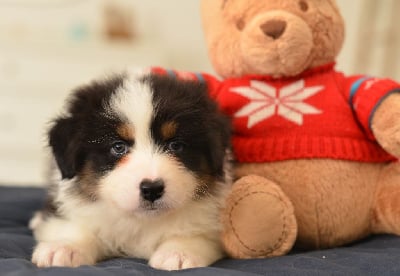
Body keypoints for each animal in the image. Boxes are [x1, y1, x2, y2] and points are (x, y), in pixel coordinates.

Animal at [30, 70, 231, 270]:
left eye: (175, 145)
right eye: (118, 147)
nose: (152, 189)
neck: (141, 222)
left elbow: (196, 233)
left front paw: (179, 252)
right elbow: (75, 227)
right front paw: (64, 248)